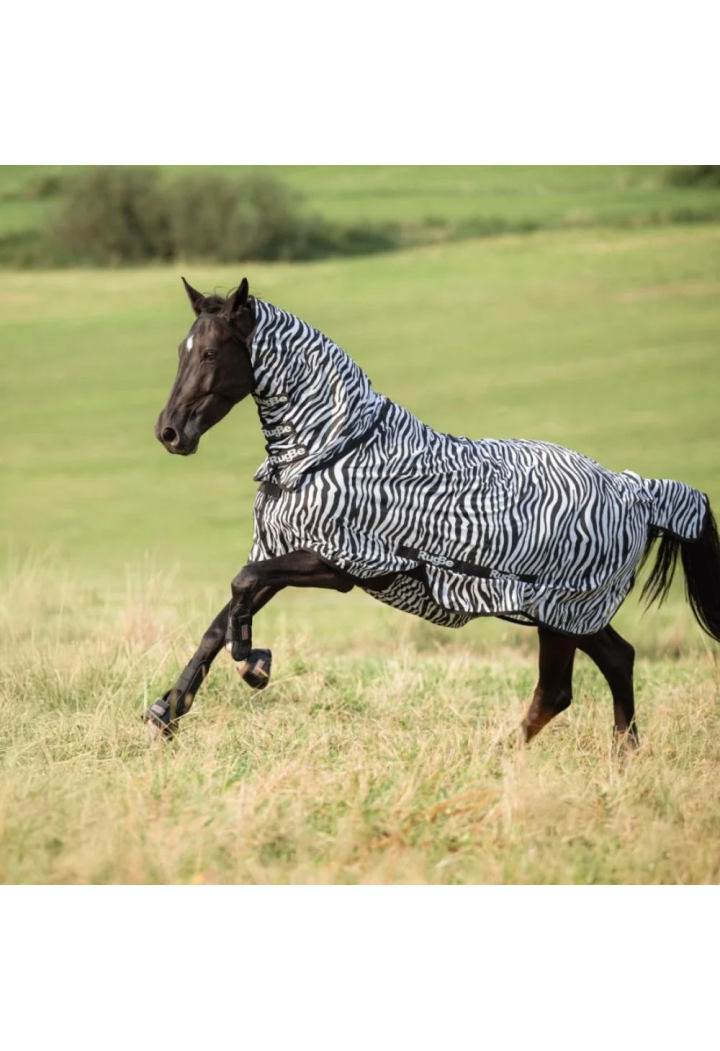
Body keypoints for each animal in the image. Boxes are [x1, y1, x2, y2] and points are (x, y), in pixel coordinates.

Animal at [145, 276, 720, 746]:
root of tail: (633, 490)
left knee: (558, 689)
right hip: (570, 615)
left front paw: (254, 666)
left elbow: (240, 588)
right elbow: (220, 621)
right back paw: (620, 757)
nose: (169, 433)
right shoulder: (282, 554)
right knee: (616, 662)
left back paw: (500, 758)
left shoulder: (341, 564)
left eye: (212, 353)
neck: (327, 450)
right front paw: (167, 712)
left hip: (561, 612)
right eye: (180, 349)